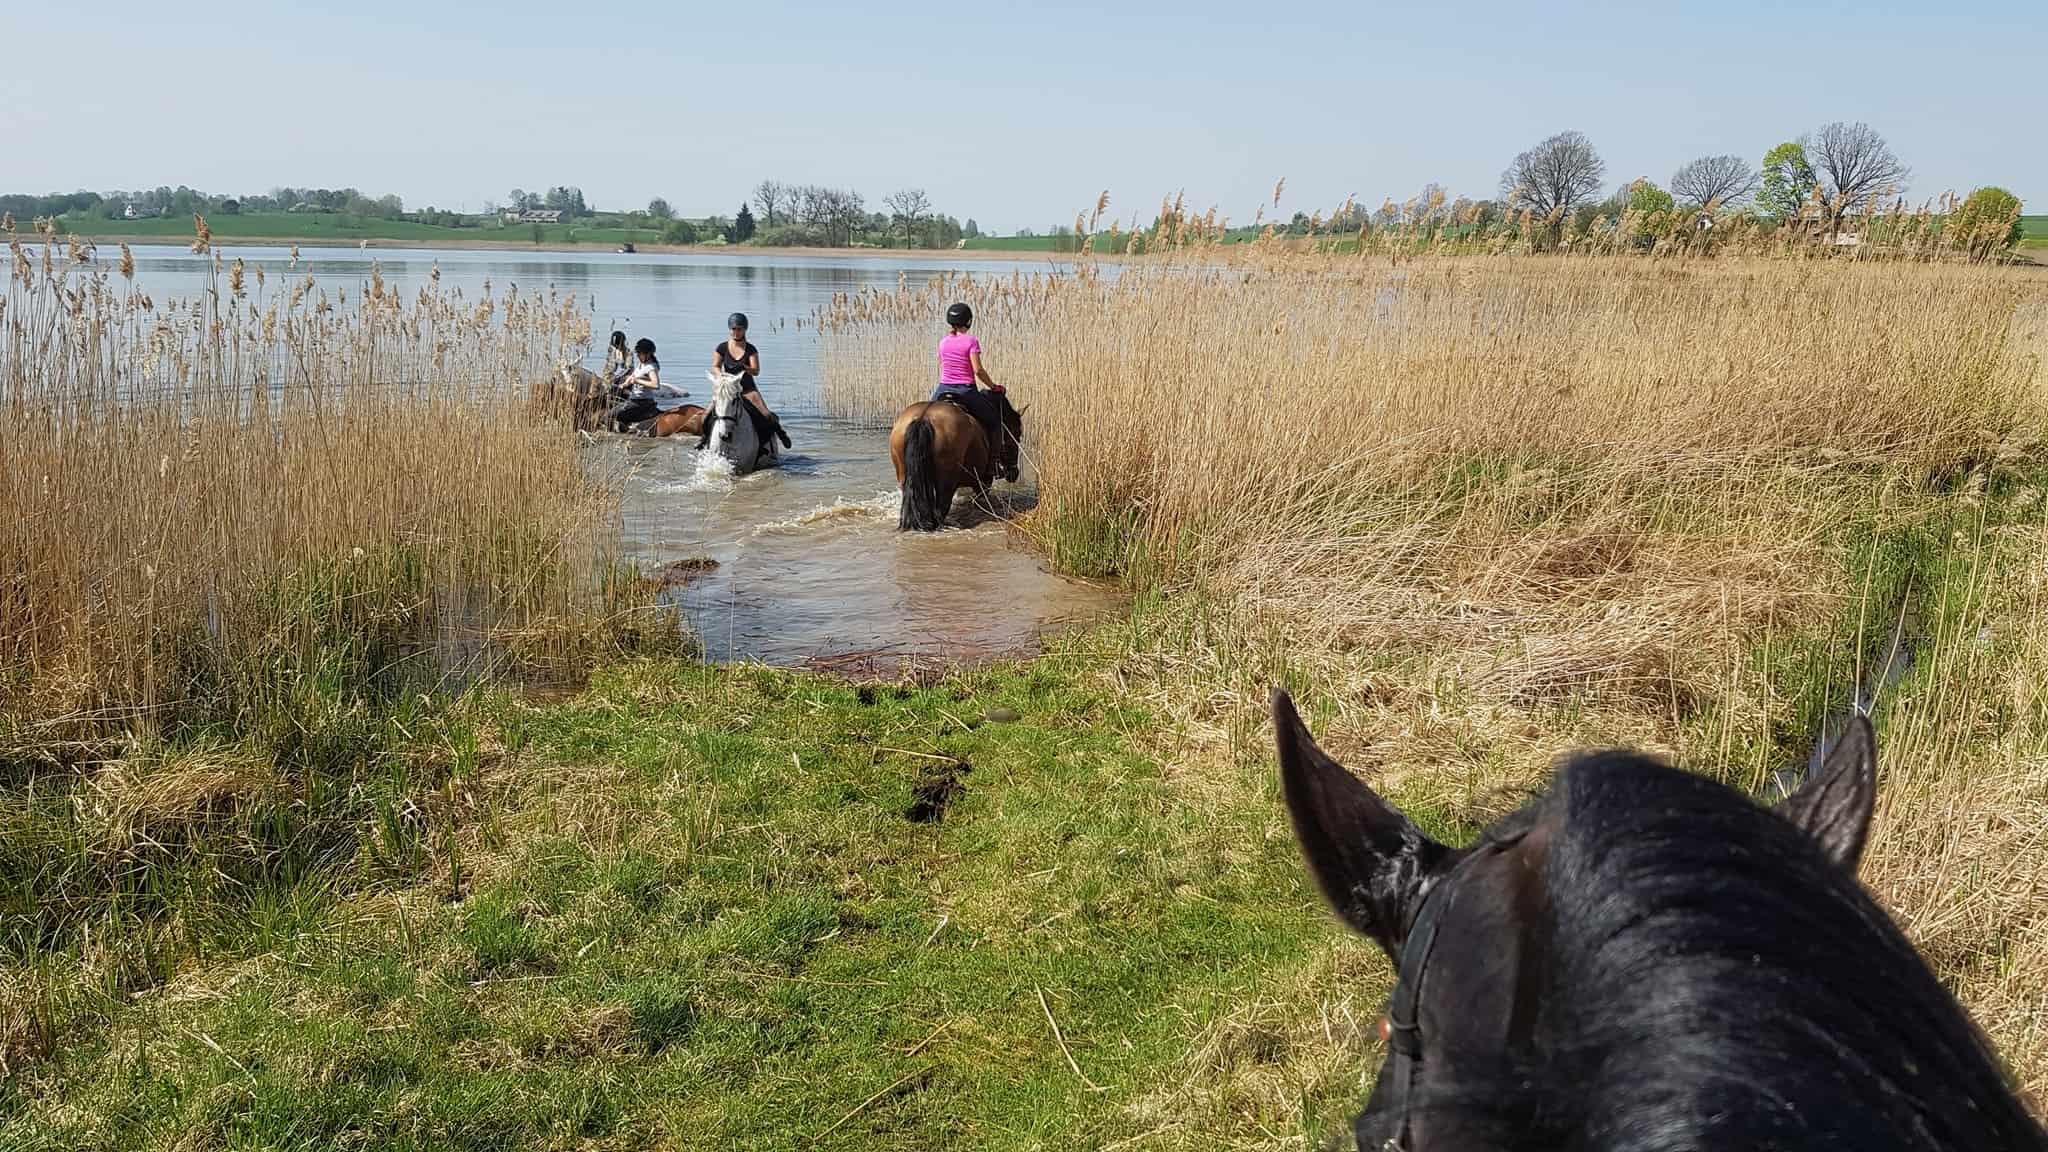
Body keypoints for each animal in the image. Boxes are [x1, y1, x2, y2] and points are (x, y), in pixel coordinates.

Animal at [888, 390, 1024, 531]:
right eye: (1017, 435)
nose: (1014, 474)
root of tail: (923, 417)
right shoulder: (983, 481)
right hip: (947, 482)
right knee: (941, 508)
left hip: (905, 476)